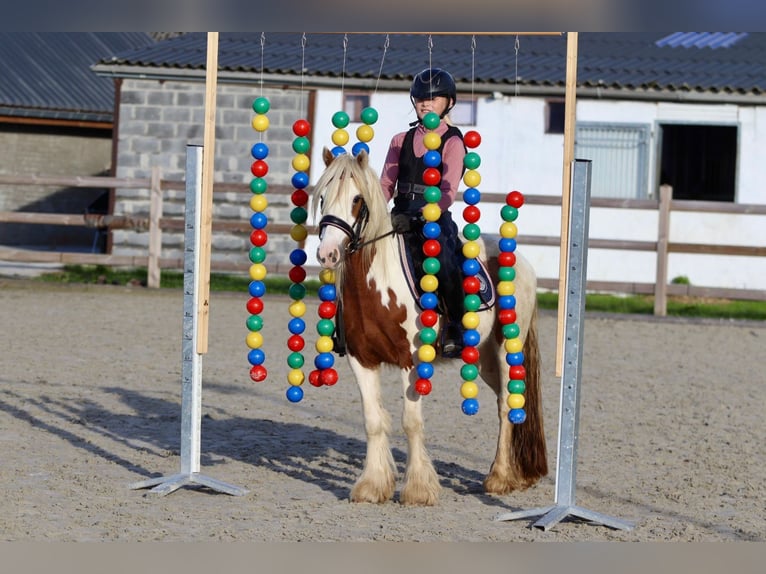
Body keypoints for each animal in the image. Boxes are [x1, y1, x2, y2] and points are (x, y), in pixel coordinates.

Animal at [312, 146, 544, 506]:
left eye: (356, 199)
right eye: (322, 198)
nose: (327, 253)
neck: (377, 283)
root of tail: (521, 262)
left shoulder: (412, 362)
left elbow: (411, 423)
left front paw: (418, 489)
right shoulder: (360, 359)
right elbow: (373, 421)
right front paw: (372, 486)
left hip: (508, 348)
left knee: (508, 404)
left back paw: (500, 478)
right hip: (484, 358)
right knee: (502, 402)